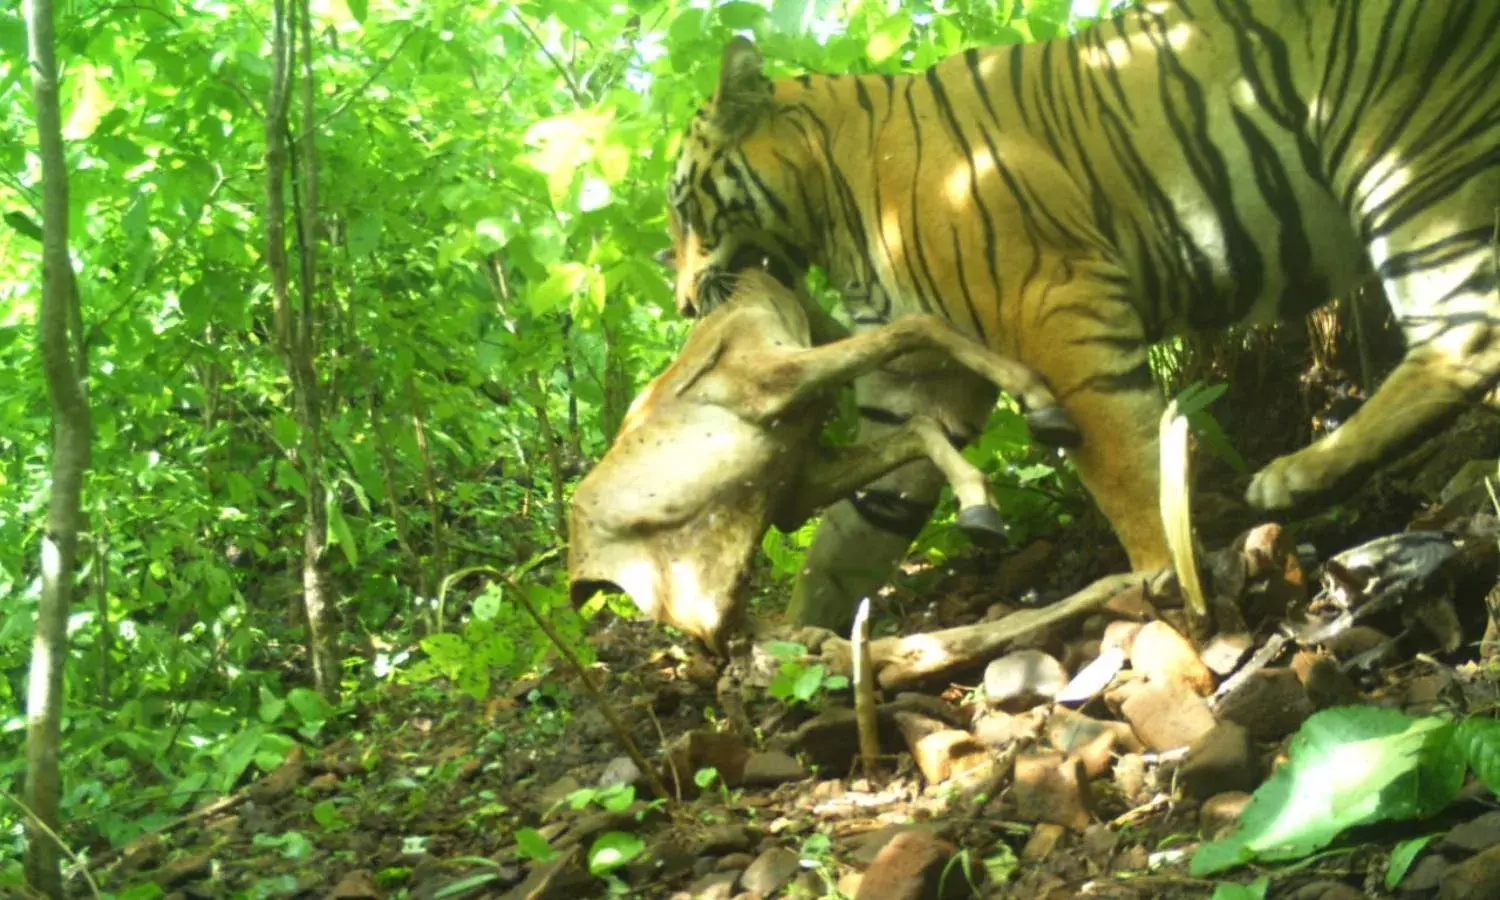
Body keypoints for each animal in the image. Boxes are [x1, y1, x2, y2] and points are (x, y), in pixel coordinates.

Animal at [665, 0, 1500, 633]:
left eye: (680, 205)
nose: (680, 304)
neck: (830, 213)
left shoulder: (1054, 306)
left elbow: (1125, 466)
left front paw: (1170, 585)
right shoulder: (914, 387)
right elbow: (853, 531)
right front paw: (793, 655)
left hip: (1403, 143)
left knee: (1468, 329)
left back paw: (1297, 479)